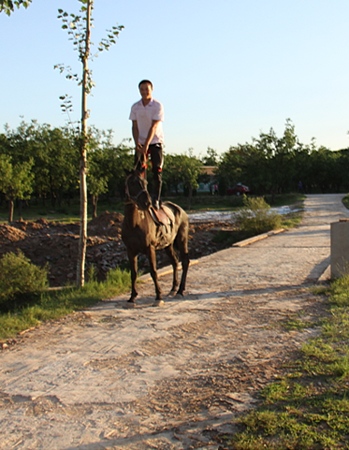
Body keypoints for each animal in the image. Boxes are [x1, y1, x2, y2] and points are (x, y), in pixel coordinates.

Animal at [121, 169, 189, 306]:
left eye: (145, 182)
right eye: (132, 182)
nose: (146, 203)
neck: (134, 223)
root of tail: (181, 210)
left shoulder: (150, 248)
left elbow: (153, 271)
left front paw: (158, 297)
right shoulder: (130, 250)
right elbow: (133, 273)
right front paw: (132, 298)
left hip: (182, 240)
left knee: (185, 262)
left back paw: (180, 291)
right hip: (168, 244)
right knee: (175, 261)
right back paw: (173, 289)